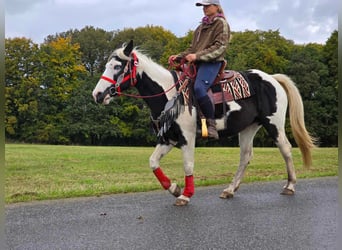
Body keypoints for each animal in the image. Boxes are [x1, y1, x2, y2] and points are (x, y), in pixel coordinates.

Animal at [91, 40, 316, 206]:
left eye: (117, 66)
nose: (97, 94)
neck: (170, 95)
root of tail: (272, 78)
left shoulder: (187, 137)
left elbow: (188, 164)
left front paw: (185, 194)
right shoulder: (168, 139)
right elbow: (153, 162)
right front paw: (174, 188)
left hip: (274, 124)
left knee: (285, 149)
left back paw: (290, 186)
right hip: (248, 128)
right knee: (245, 156)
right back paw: (230, 189)